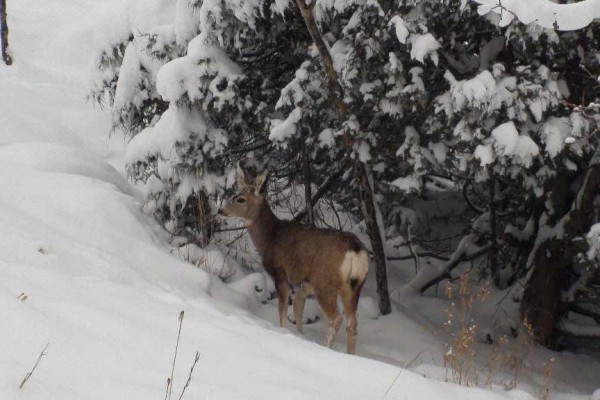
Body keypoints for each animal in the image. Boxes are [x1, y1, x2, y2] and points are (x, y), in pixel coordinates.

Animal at [219, 164, 370, 354]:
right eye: (233, 193)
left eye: (241, 199)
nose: (221, 210)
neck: (269, 238)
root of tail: (355, 250)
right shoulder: (304, 284)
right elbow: (298, 308)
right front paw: (300, 335)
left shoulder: (280, 274)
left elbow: (283, 311)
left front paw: (284, 333)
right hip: (354, 287)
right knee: (352, 323)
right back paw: (351, 355)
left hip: (325, 283)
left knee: (336, 318)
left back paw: (326, 348)